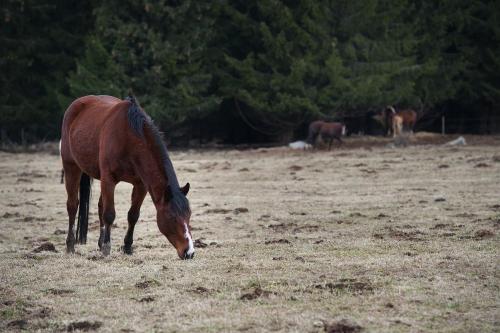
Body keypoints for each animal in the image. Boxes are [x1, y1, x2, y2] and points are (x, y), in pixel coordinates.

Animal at [61, 94, 194, 258]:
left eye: (189, 215)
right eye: (172, 217)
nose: (189, 252)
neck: (128, 138)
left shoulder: (141, 185)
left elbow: (133, 215)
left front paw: (127, 247)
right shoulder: (109, 179)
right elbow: (109, 214)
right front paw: (107, 247)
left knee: (99, 206)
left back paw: (99, 242)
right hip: (71, 167)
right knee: (73, 205)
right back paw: (71, 245)